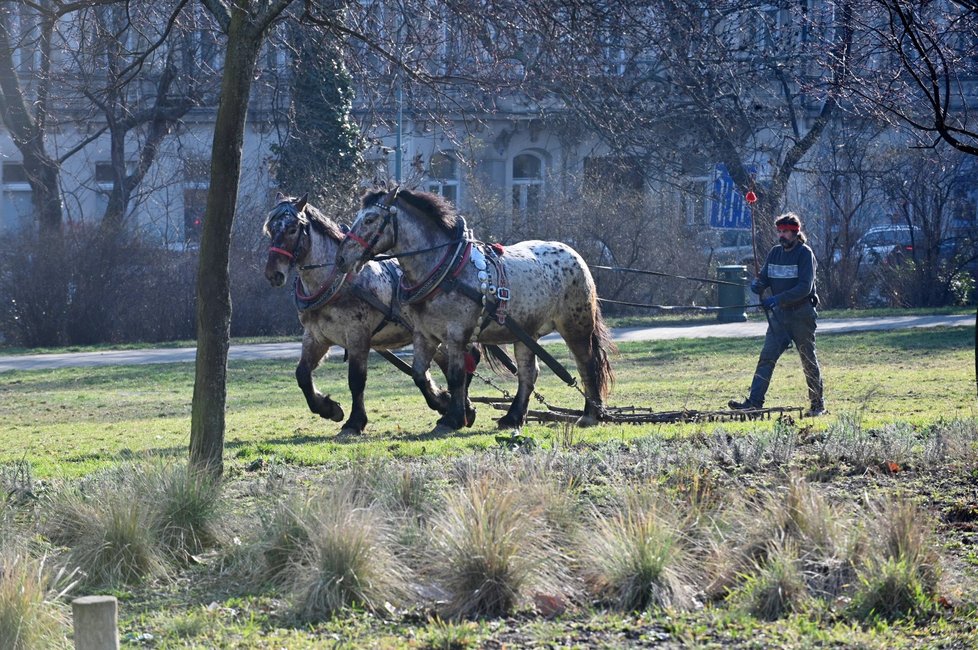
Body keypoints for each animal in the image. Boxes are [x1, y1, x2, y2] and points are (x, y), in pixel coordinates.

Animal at [258, 192, 474, 436]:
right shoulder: (315, 336)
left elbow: (356, 379)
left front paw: (355, 421)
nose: (273, 274)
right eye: (270, 229)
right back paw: (456, 407)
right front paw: (328, 408)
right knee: (447, 365)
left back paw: (457, 407)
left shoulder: (357, 335)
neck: (337, 281)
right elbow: (302, 374)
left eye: (293, 229)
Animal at [332, 185, 612, 432]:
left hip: (575, 327)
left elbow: (456, 376)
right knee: (528, 374)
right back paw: (513, 417)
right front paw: (444, 404)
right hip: (526, 334)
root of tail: (574, 255)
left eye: (370, 219)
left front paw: (453, 418)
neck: (446, 268)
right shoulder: (424, 334)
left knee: (586, 364)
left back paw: (590, 414)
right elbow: (419, 373)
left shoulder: (456, 335)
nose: (341, 258)